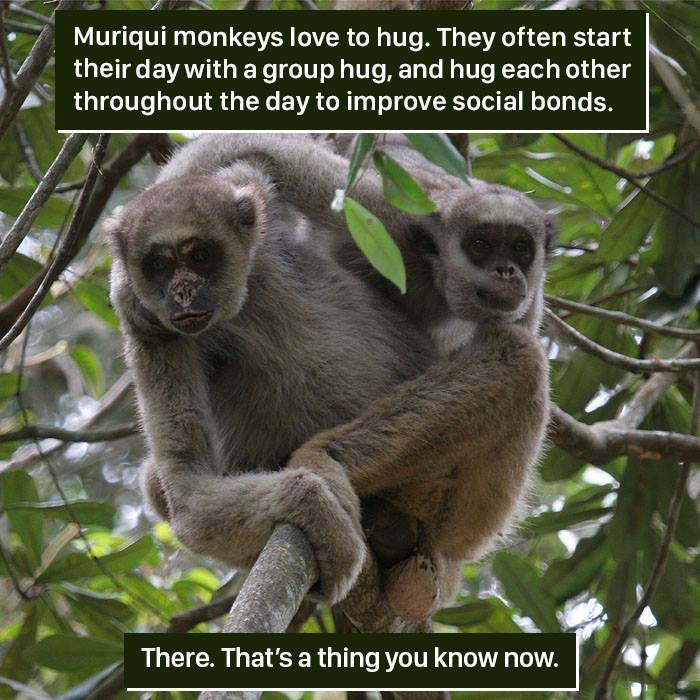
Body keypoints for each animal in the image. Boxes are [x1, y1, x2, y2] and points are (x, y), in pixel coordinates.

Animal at [107, 161, 434, 605]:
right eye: (159, 266)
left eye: (200, 256)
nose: (183, 290)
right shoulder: (151, 334)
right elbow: (188, 491)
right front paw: (312, 503)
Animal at [155, 134, 553, 622]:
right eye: (480, 244)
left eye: (521, 248)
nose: (505, 271)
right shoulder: (392, 220)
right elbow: (259, 153)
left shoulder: (527, 294)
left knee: (517, 353)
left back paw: (431, 553)